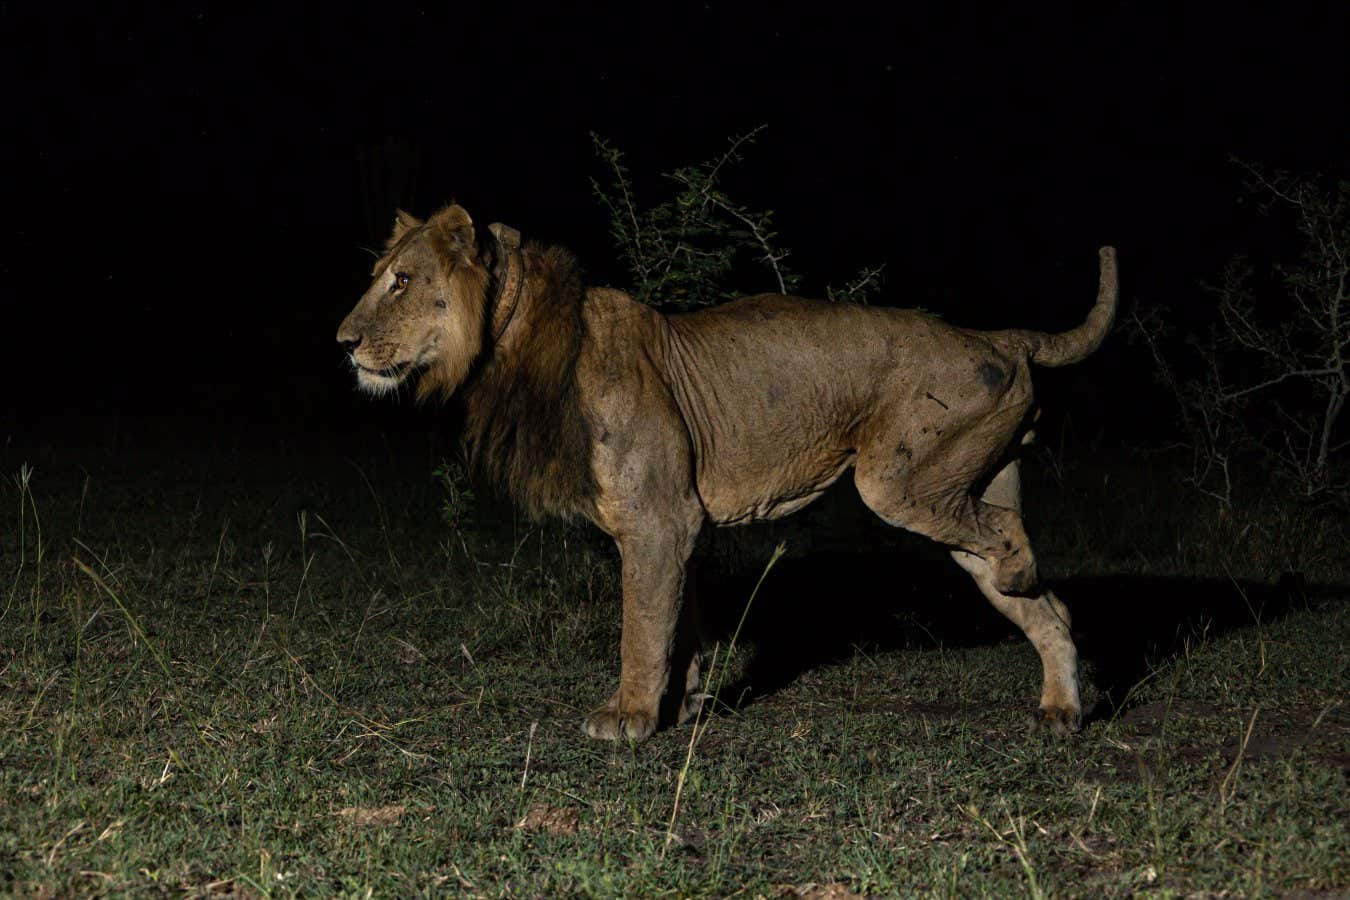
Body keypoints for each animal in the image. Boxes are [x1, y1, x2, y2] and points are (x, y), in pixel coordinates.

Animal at [337, 204, 1117, 741]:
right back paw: (1061, 708)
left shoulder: (659, 519)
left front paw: (628, 716)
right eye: (379, 278)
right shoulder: (676, 525)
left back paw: (1023, 579)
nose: (342, 343)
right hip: (960, 485)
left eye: (401, 282)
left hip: (899, 480)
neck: (515, 342)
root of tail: (996, 336)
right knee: (1047, 605)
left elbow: (642, 626)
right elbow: (678, 621)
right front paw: (681, 705)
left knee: (1009, 540)